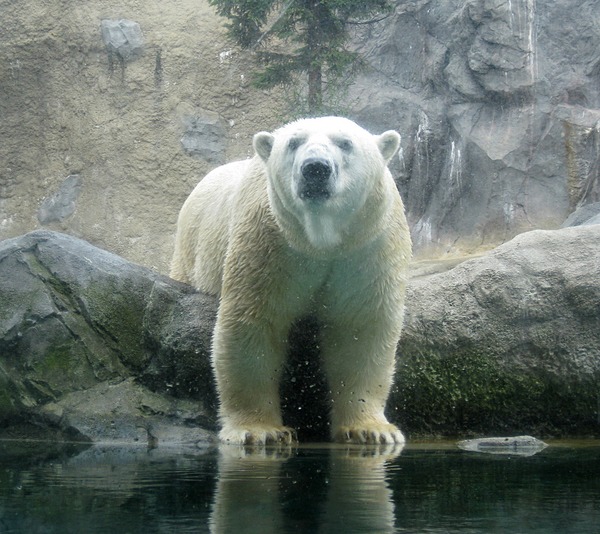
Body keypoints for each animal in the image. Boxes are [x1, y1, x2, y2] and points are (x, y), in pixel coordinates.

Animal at [171, 117, 410, 448]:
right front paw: (260, 430)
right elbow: (252, 326)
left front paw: (372, 430)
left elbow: (360, 329)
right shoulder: (269, 241)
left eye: (345, 143)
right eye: (293, 143)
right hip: (189, 247)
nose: (316, 168)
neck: (320, 241)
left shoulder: (367, 247)